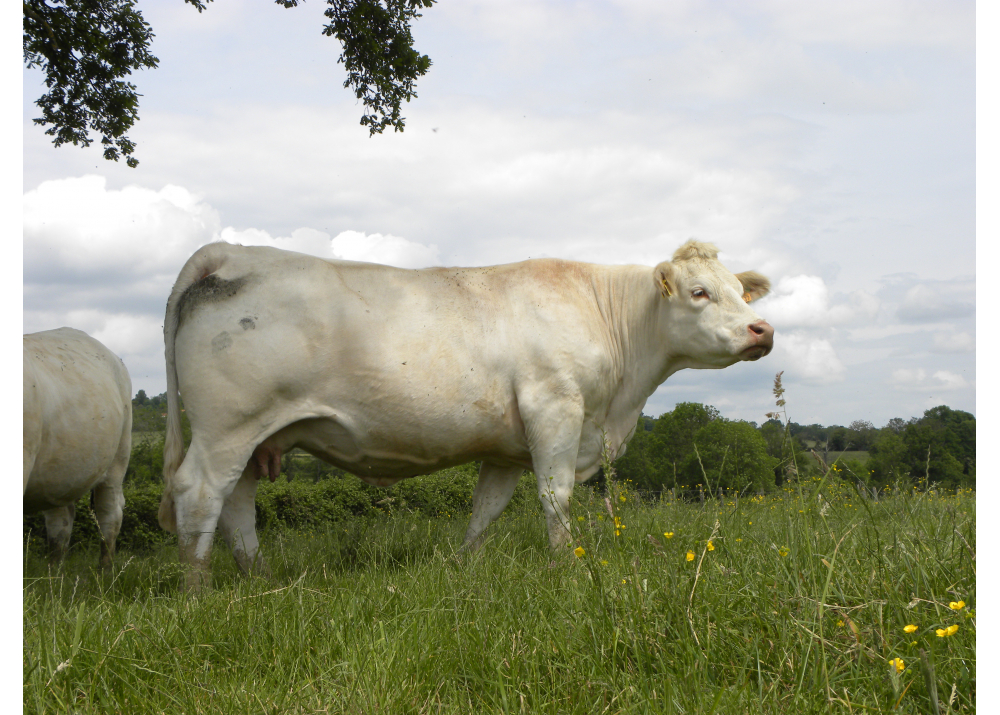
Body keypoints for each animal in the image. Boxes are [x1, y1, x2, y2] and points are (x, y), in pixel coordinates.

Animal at [23, 328, 133, 568]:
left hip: (118, 459)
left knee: (109, 514)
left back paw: (105, 571)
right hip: (58, 472)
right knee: (60, 523)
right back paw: (53, 574)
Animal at [162, 238, 772, 592]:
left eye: (742, 293)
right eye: (700, 292)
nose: (762, 330)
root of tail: (231, 251)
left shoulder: (506, 446)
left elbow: (486, 510)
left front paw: (463, 566)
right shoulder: (556, 407)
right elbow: (555, 497)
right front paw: (567, 569)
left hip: (255, 435)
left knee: (236, 506)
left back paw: (259, 581)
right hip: (227, 425)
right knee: (201, 494)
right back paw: (198, 593)